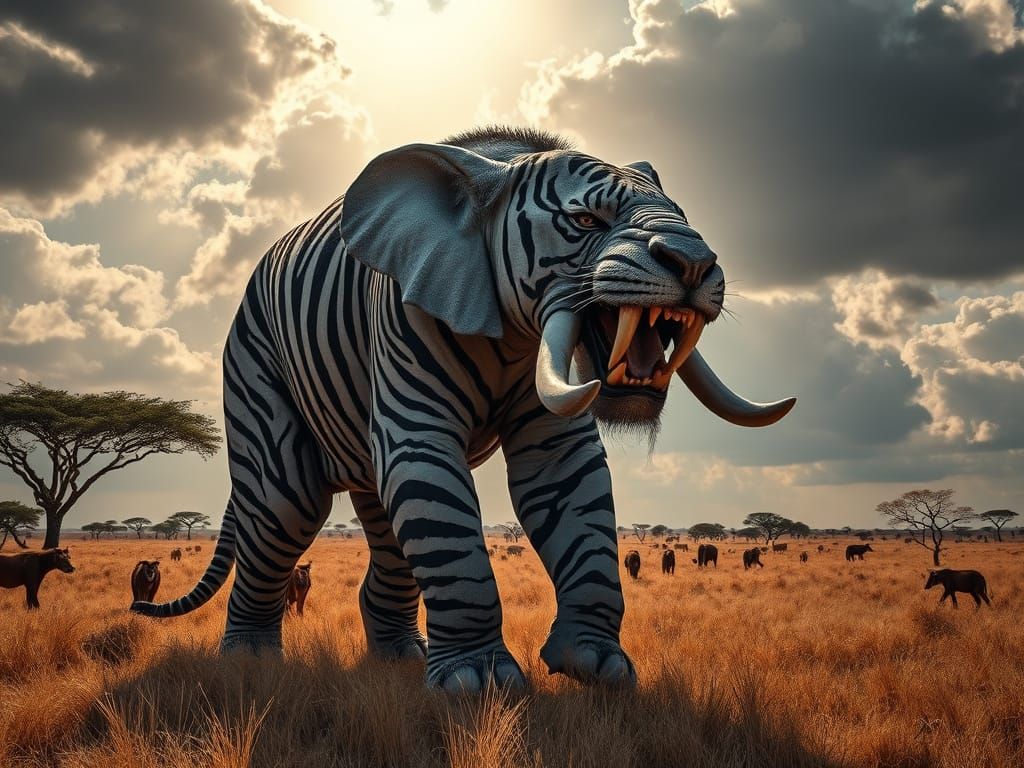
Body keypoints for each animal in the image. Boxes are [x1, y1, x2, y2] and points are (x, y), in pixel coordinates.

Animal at [131, 126, 794, 692]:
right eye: (584, 220)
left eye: (686, 219)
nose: (696, 263)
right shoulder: (403, 317)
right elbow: (431, 478)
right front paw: (480, 686)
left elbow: (567, 484)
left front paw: (597, 667)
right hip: (255, 364)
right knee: (282, 504)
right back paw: (250, 663)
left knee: (387, 524)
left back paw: (401, 660)